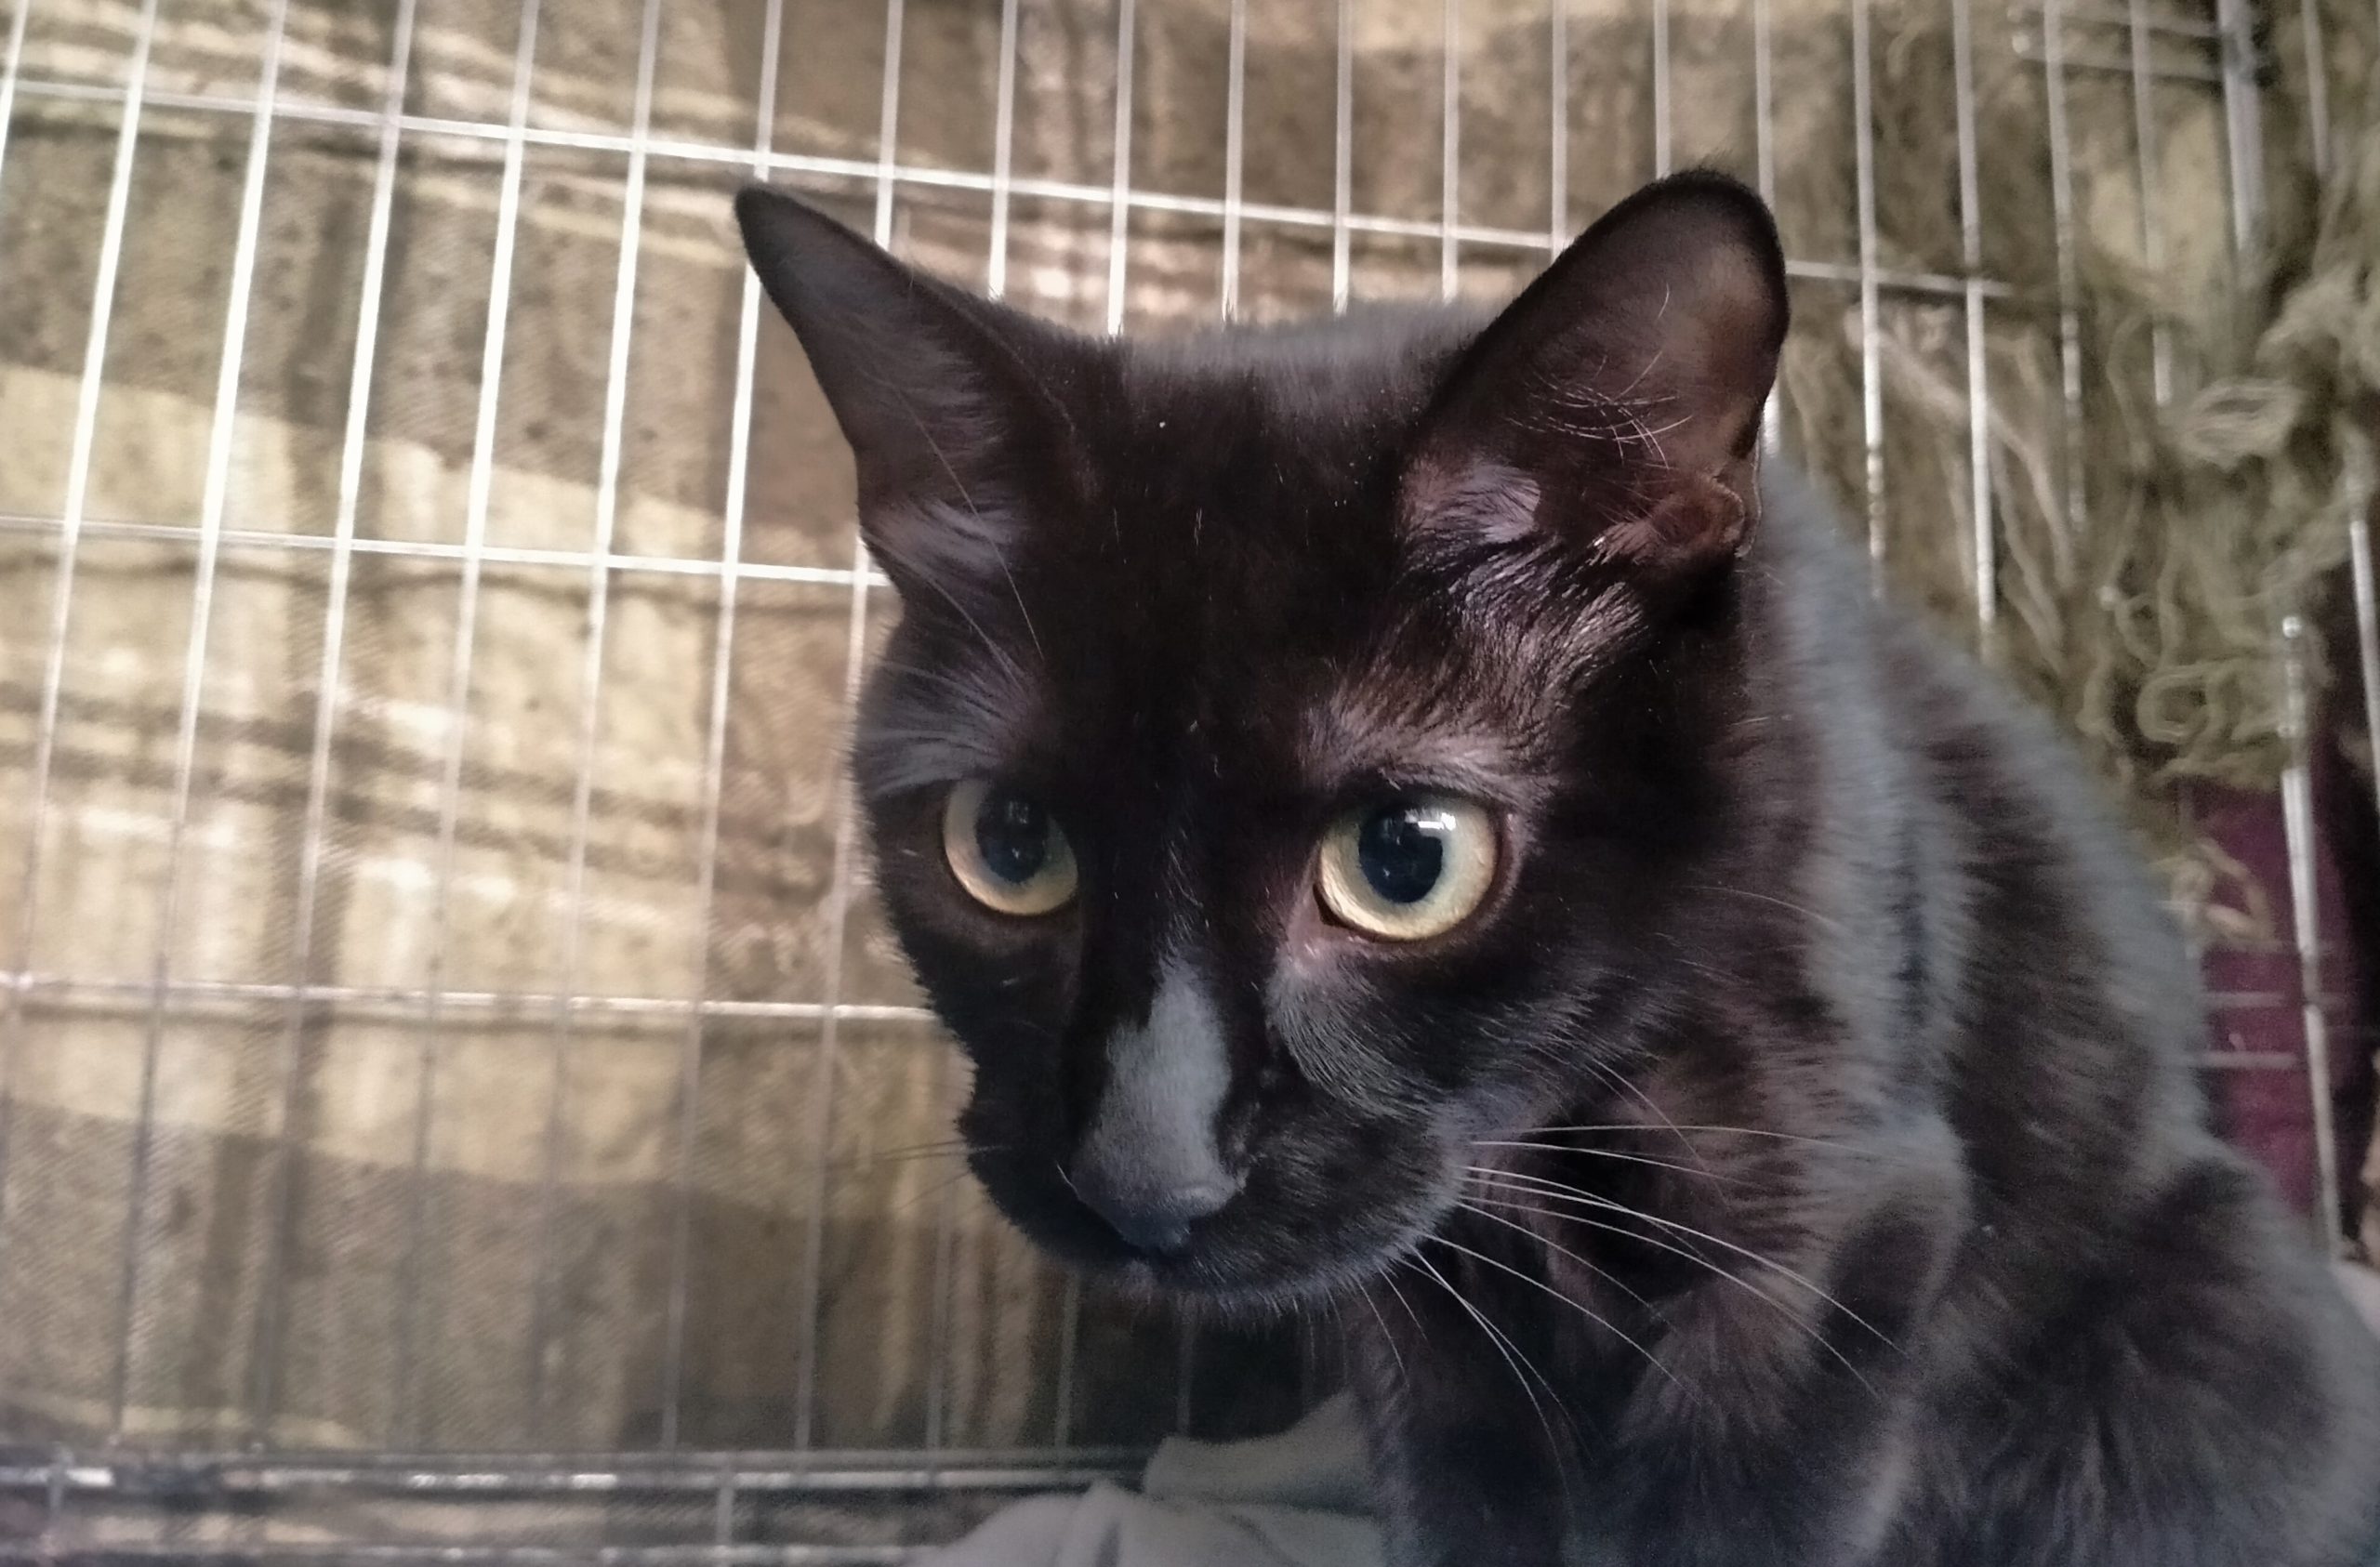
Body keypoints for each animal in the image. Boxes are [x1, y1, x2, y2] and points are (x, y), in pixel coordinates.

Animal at [735, 171, 2380, 1567]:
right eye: (1010, 846)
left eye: (1406, 861)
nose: (1146, 1171)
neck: (1540, 1130)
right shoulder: (1429, 1331)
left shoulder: (1832, 1244)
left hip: (2209, 1331)